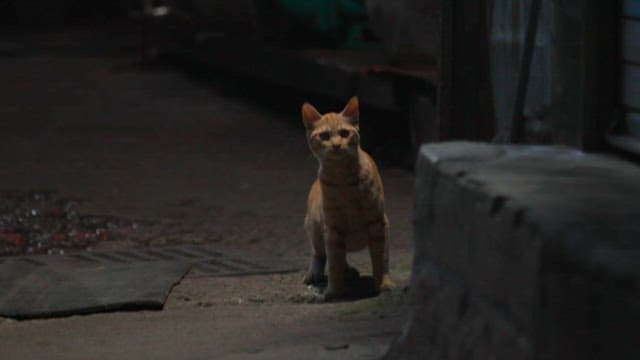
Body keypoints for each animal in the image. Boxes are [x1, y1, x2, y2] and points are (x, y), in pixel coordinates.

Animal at [302, 96, 392, 300]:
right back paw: (316, 272)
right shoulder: (332, 230)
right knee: (319, 253)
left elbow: (380, 259)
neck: (343, 179)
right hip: (315, 227)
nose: (336, 145)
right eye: (325, 136)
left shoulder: (378, 224)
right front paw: (333, 292)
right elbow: (334, 263)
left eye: (344, 133)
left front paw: (383, 284)